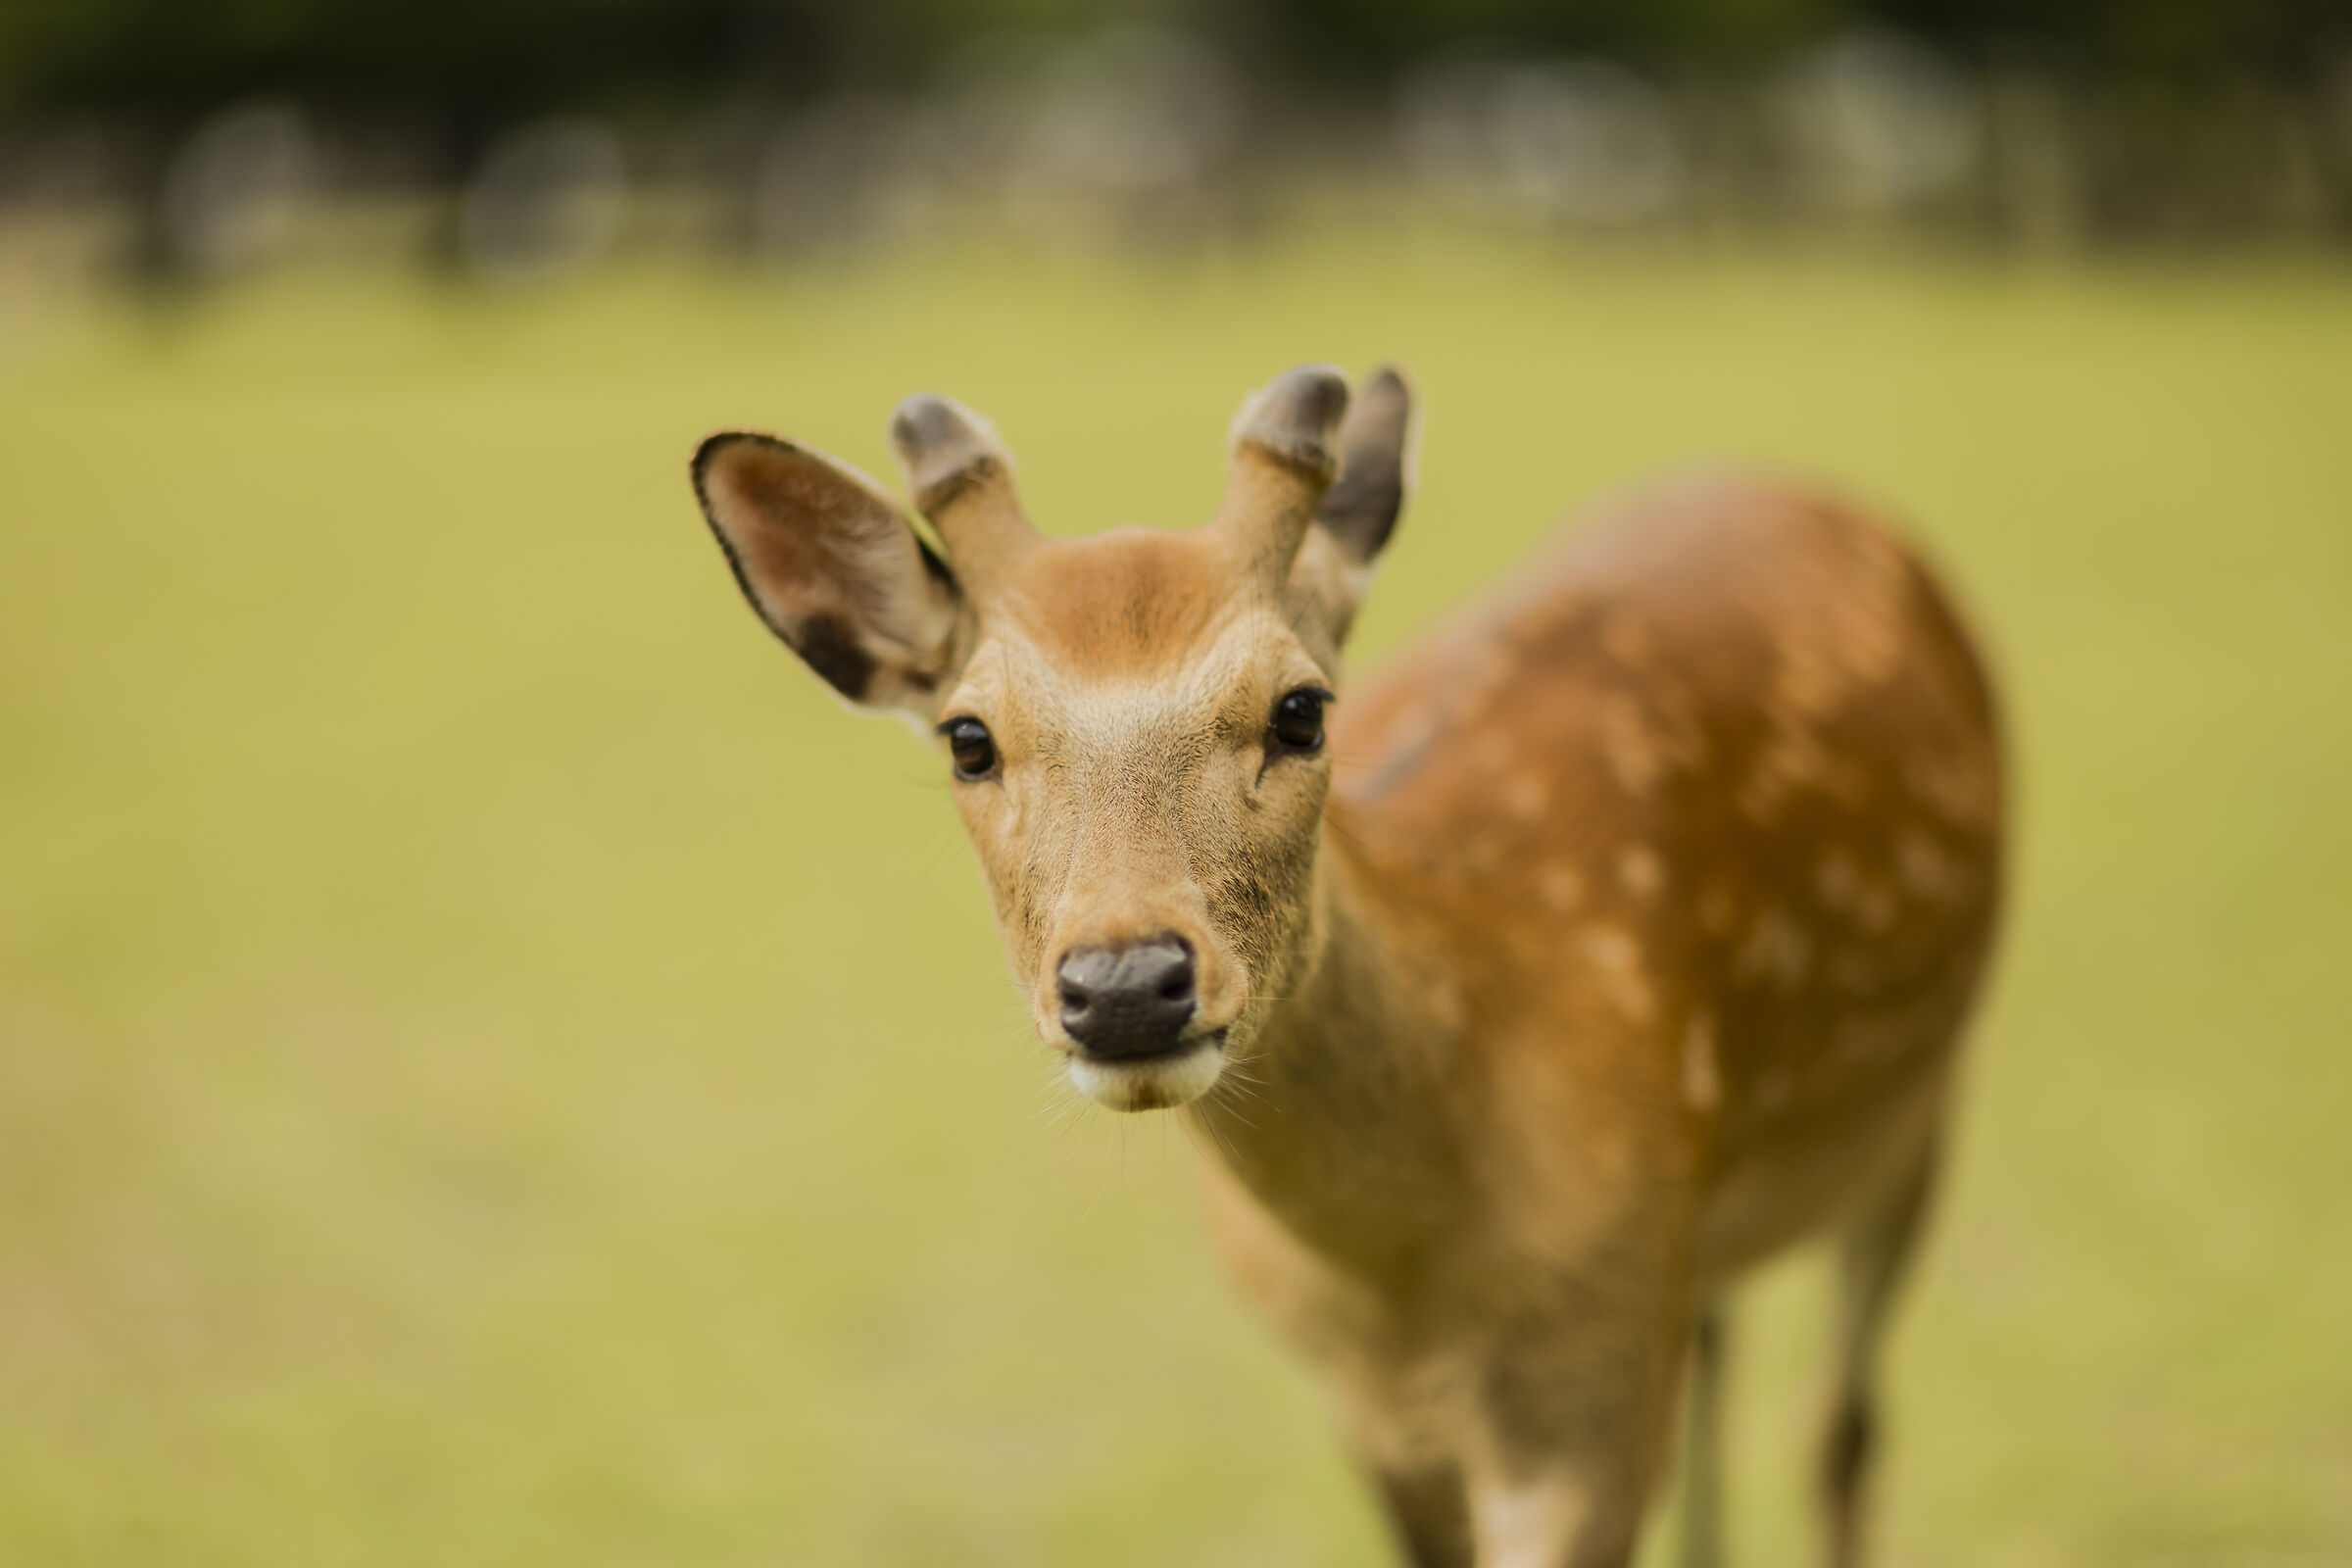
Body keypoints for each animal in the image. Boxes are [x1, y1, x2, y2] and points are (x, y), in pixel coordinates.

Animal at [685, 364, 2004, 1568]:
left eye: (1303, 709)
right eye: (968, 737)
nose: (1126, 985)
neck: (1410, 1281)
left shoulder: (1594, 1371)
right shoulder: (1376, 1413)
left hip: (1921, 1108)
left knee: (1844, 1426)